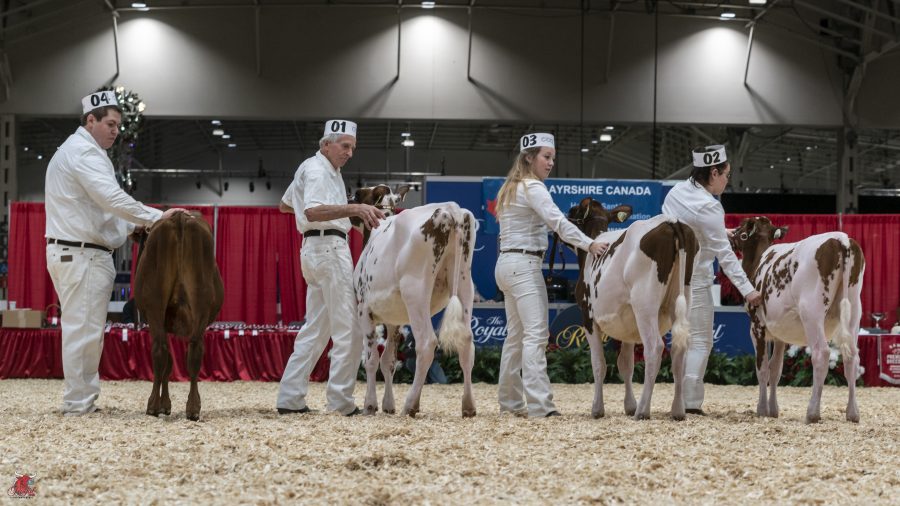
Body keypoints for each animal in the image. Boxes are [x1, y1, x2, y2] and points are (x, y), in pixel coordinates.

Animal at [135, 212, 224, 421]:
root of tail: (180, 217)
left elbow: (168, 363)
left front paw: (164, 405)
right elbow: (170, 363)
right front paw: (166, 405)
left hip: (154, 307)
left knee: (161, 351)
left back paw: (153, 406)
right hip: (199, 304)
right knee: (193, 350)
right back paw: (192, 408)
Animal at [352, 195, 477, 418]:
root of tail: (450, 209)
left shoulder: (363, 310)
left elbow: (371, 360)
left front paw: (370, 405)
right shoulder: (394, 321)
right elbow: (388, 361)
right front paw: (388, 405)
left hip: (416, 291)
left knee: (427, 343)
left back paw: (410, 404)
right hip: (465, 282)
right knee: (467, 342)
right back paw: (468, 406)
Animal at [566, 198, 698, 420]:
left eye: (572, 212)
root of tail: (672, 221)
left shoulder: (588, 317)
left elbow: (598, 363)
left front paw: (597, 409)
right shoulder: (627, 324)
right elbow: (626, 364)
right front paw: (629, 405)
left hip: (645, 304)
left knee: (654, 348)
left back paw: (643, 410)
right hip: (684, 298)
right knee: (679, 350)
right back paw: (677, 410)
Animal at [730, 217, 865, 423]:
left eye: (743, 230)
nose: (730, 235)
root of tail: (841, 238)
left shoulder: (756, 327)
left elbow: (762, 368)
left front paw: (762, 409)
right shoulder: (780, 335)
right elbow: (776, 369)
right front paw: (773, 410)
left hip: (812, 311)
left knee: (821, 353)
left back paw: (812, 413)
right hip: (854, 310)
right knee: (851, 357)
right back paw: (852, 413)